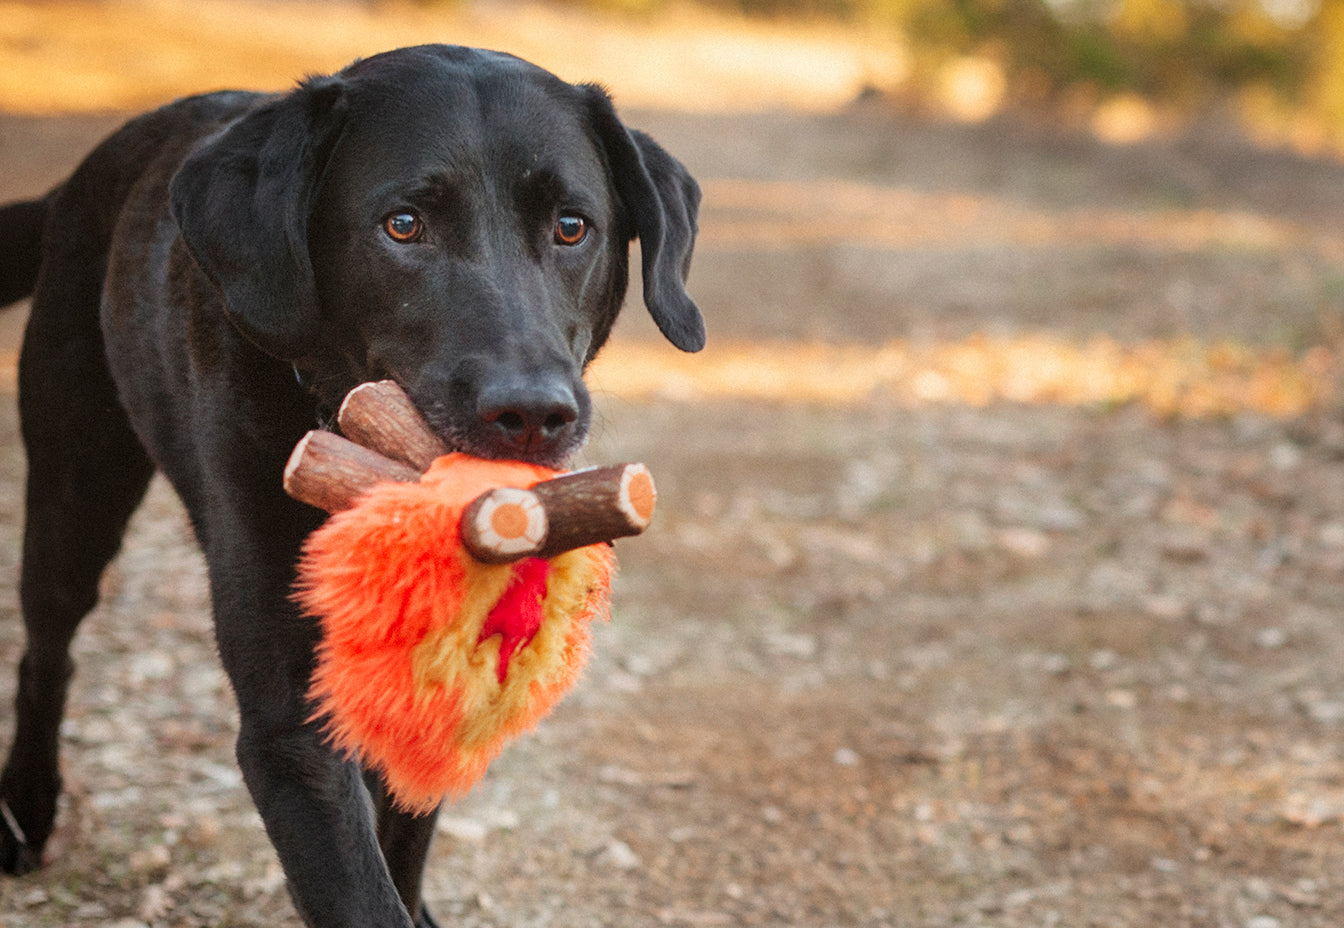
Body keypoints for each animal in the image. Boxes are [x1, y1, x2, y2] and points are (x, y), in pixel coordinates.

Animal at [0, 45, 704, 925]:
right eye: (403, 225)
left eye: (572, 227)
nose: (535, 413)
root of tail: (83, 174)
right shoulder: (289, 725)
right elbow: (357, 887)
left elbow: (401, 829)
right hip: (76, 488)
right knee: (46, 653)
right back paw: (25, 812)